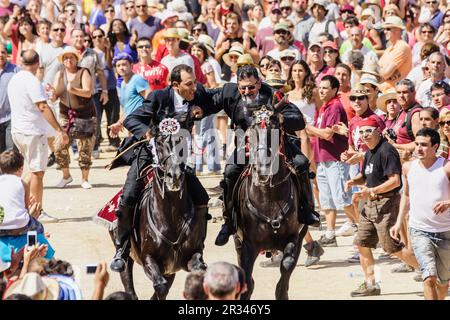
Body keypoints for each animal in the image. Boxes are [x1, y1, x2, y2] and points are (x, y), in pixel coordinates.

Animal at [111, 129, 207, 298]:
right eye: (160, 143)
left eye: (182, 141)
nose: (174, 175)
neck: (172, 216)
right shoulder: (149, 259)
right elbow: (160, 286)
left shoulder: (191, 255)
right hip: (127, 258)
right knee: (128, 280)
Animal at [232, 107, 310, 300]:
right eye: (251, 131)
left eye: (275, 130)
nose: (262, 169)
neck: (268, 196)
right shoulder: (248, 245)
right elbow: (246, 278)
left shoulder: (294, 237)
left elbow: (286, 268)